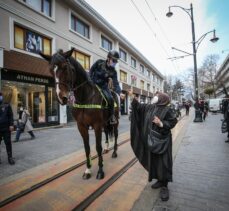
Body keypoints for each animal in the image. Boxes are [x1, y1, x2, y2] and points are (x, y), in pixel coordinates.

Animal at [40, 49, 120, 180]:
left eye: (65, 67)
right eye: (51, 70)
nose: (61, 97)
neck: (84, 98)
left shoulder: (97, 125)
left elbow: (97, 147)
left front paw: (100, 171)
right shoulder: (81, 126)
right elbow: (87, 148)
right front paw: (88, 170)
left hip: (115, 122)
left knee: (116, 135)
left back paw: (114, 152)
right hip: (105, 124)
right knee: (107, 134)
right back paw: (107, 148)